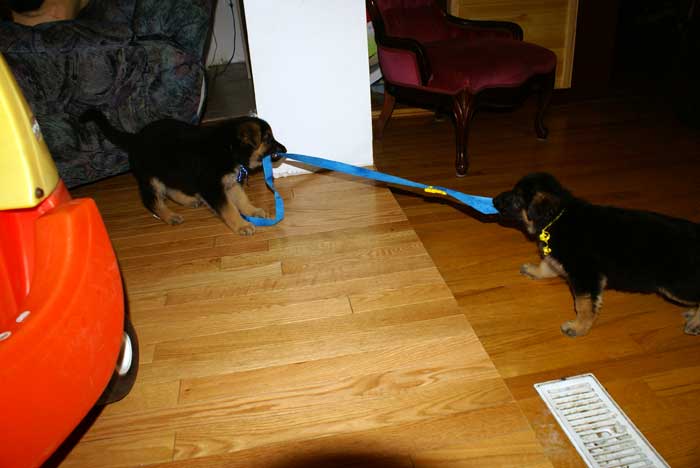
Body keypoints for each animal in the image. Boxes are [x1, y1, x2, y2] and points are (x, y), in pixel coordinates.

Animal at [82, 109, 288, 234]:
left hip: (170, 172)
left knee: (170, 189)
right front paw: (242, 225)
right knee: (151, 200)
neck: (228, 148)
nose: (285, 149)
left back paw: (188, 200)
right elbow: (229, 208)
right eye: (268, 139)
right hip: (151, 178)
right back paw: (169, 216)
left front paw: (252, 211)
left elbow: (241, 199)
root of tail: (134, 138)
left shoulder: (229, 182)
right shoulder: (212, 187)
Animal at [492, 172, 700, 336]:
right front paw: (535, 271)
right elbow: (547, 264)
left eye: (517, 198)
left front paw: (579, 327)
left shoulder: (586, 275)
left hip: (676, 285)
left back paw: (695, 323)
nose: (493, 200)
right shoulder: (560, 258)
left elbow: (584, 305)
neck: (558, 216)